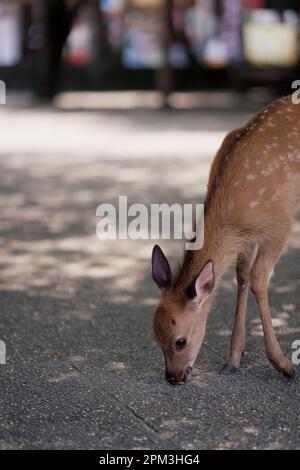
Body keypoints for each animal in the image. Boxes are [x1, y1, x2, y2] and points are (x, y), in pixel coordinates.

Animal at [152, 95, 300, 386]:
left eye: (180, 341)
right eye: (155, 337)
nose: (173, 377)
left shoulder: (281, 224)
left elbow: (258, 279)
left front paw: (283, 363)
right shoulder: (245, 239)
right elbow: (242, 278)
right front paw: (233, 358)